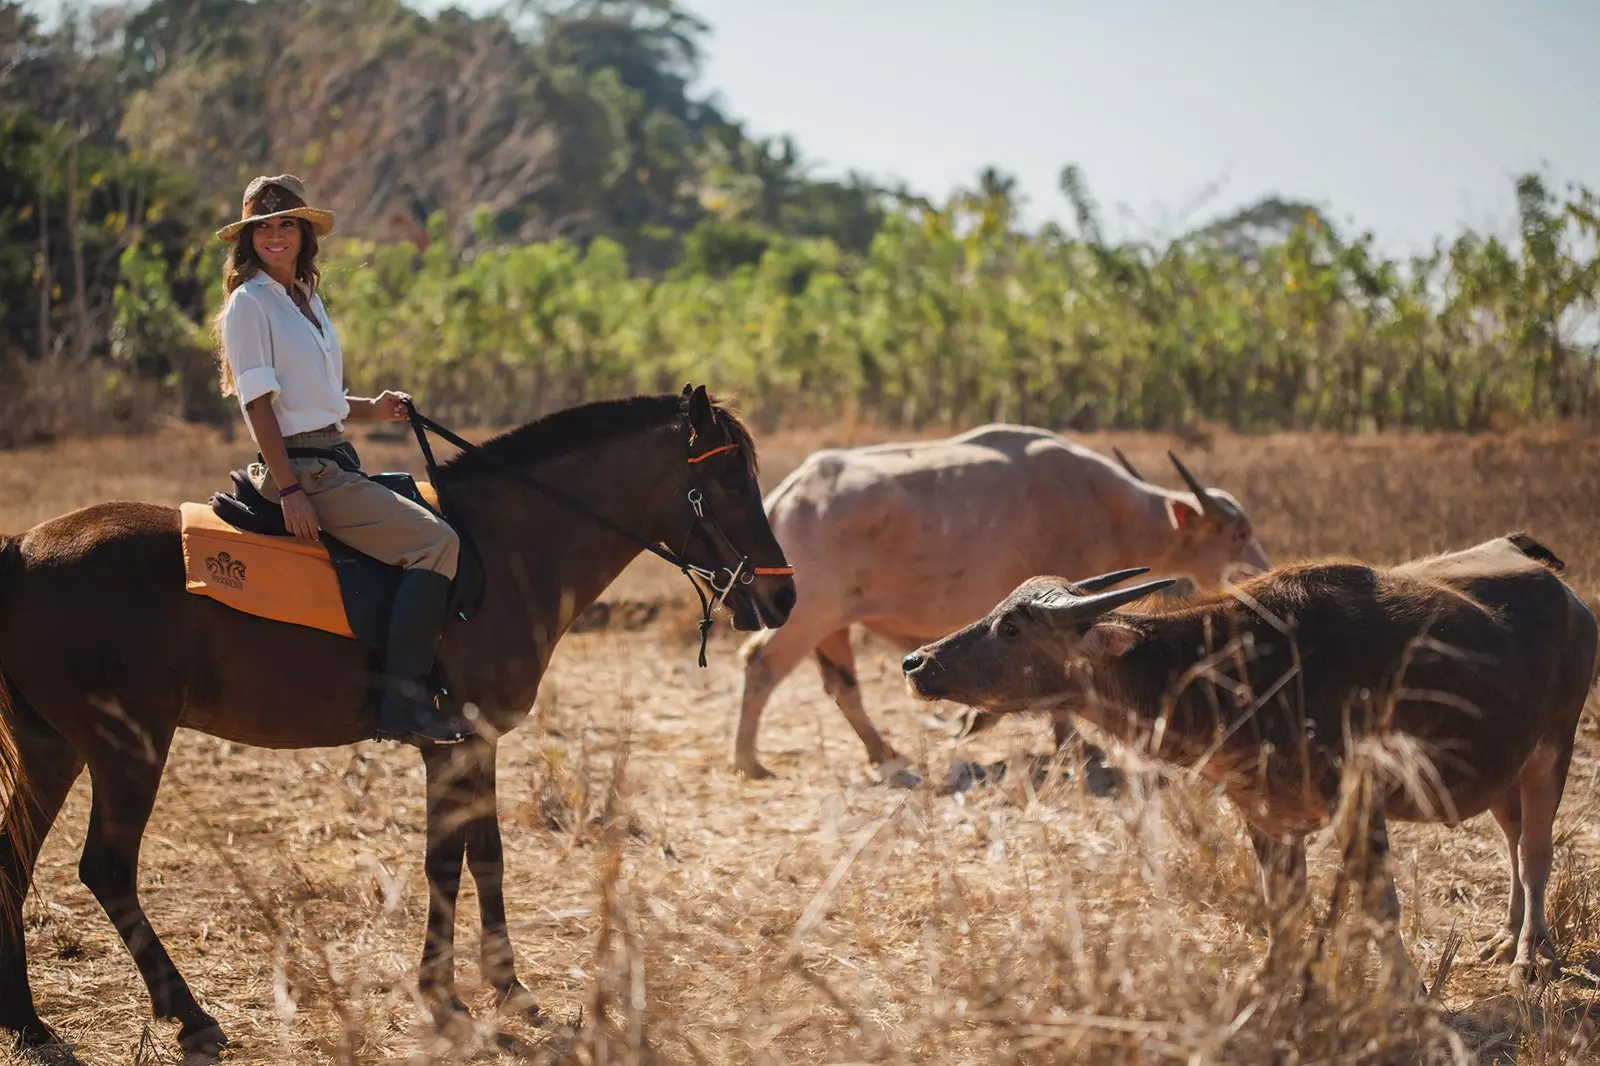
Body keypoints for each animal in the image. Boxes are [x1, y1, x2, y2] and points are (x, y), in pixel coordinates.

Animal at [0, 384, 793, 1056]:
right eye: (731, 482)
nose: (783, 599)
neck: (501, 551)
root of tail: (23, 550)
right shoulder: (450, 747)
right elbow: (445, 862)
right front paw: (444, 998)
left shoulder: (478, 741)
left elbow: (486, 856)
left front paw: (509, 988)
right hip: (126, 750)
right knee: (106, 869)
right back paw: (190, 1017)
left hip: (54, 749)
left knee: (14, 860)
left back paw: (28, 1024)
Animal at [732, 422, 1267, 781]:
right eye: (1238, 533)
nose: (1257, 571)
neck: (1104, 505)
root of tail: (785, 497)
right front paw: (1077, 747)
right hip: (807, 616)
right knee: (762, 667)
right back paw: (748, 761)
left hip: (834, 626)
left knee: (842, 686)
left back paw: (883, 753)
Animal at [908, 534, 1593, 985]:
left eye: (1012, 628)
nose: (918, 662)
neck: (1241, 672)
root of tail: (1567, 595)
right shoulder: (1264, 814)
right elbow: (1281, 907)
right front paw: (1271, 981)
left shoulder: (1359, 805)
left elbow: (1379, 906)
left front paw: (1408, 994)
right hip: (1505, 769)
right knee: (1511, 840)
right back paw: (1504, 937)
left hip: (1553, 748)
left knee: (1535, 852)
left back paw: (1530, 954)